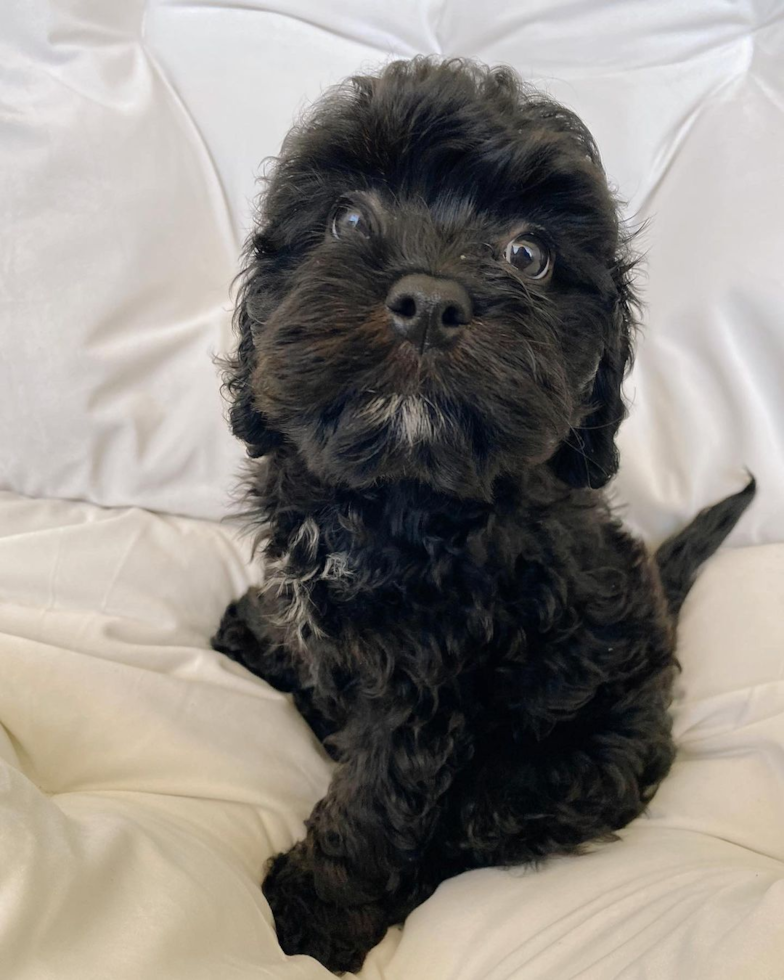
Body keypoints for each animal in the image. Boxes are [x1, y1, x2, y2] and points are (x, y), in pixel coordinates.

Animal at [211, 59, 756, 972]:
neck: (394, 493)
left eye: (528, 255)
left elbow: (377, 798)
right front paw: (263, 632)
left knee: (466, 831)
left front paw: (315, 915)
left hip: (557, 769)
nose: (429, 302)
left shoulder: (428, 680)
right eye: (347, 217)